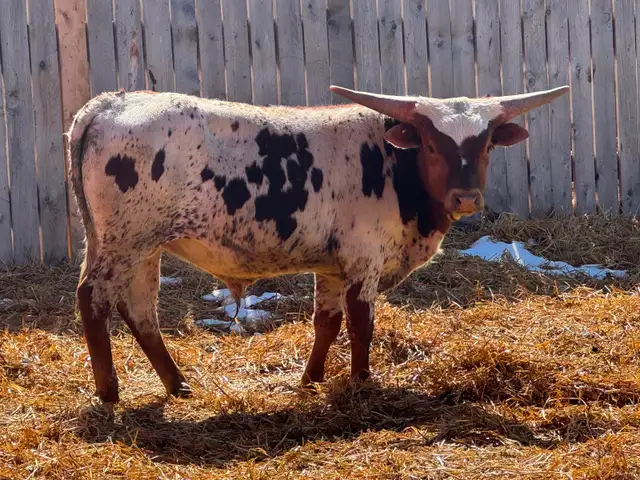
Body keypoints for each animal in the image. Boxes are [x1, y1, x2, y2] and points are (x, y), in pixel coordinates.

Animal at [67, 85, 569, 403]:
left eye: (485, 144)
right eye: (430, 143)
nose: (465, 197)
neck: (393, 165)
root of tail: (112, 102)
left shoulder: (331, 268)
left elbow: (326, 324)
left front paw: (311, 380)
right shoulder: (364, 262)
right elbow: (361, 324)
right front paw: (362, 382)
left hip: (141, 247)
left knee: (139, 310)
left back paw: (177, 384)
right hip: (125, 242)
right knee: (93, 299)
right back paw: (109, 391)